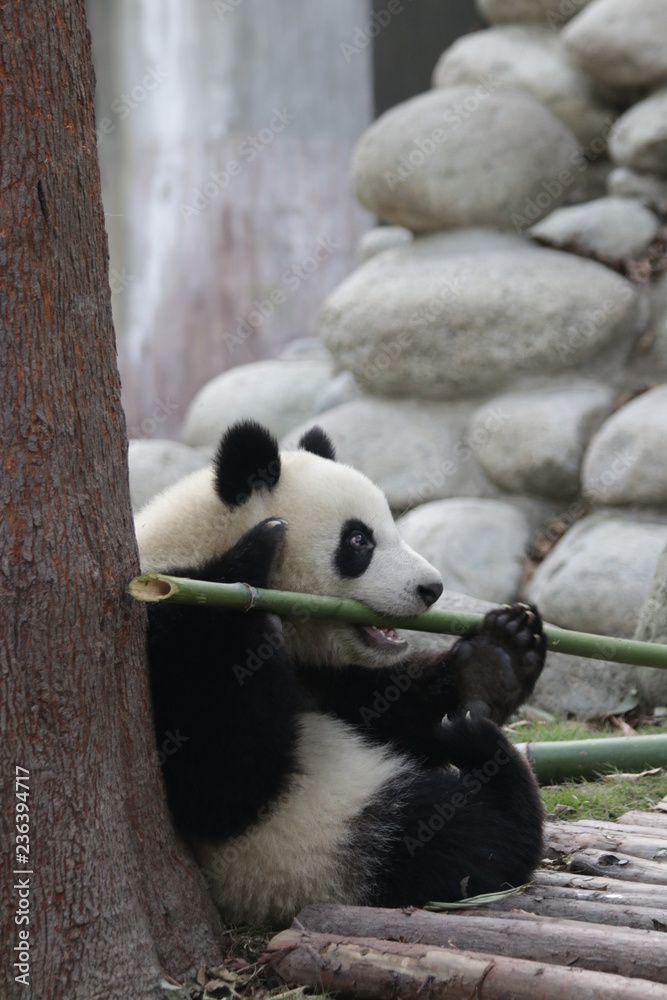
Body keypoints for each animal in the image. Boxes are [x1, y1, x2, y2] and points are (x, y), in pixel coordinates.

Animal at [135, 419, 546, 927]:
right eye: (359, 540)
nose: (431, 588)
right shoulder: (164, 624)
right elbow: (219, 786)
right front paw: (258, 554)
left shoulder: (322, 669)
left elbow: (378, 709)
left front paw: (495, 660)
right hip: (319, 844)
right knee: (451, 835)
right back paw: (487, 761)